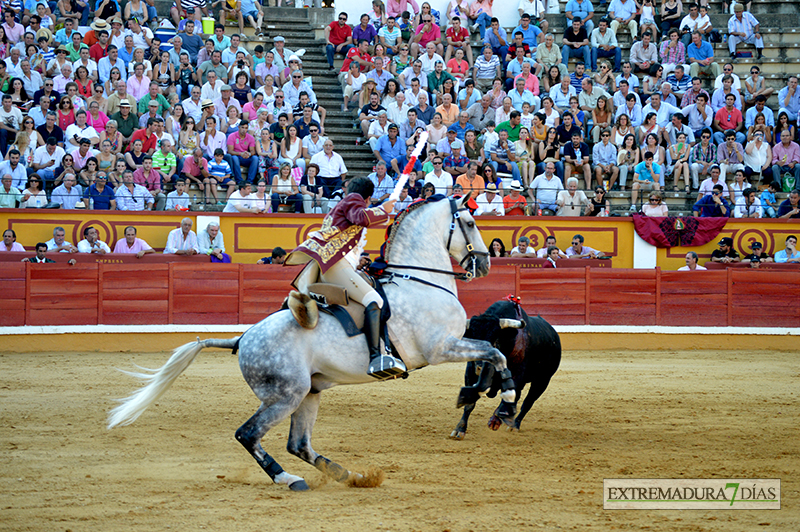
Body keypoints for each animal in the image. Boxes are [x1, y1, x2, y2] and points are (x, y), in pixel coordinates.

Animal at [106, 195, 520, 490]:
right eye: (469, 222)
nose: (485, 263)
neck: (419, 279)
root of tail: (243, 338)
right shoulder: (440, 348)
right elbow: (494, 353)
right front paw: (506, 397)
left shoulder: (456, 339)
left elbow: (491, 351)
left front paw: (482, 394)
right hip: (285, 395)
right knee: (248, 434)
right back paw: (288, 478)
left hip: (309, 392)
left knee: (298, 444)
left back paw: (349, 475)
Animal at [450, 302, 564, 438]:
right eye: (472, 342)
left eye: (495, 341)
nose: (479, 367)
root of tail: (553, 334)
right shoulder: (470, 374)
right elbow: (469, 403)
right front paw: (459, 429)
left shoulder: (517, 376)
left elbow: (508, 398)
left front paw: (495, 421)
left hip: (542, 380)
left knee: (528, 402)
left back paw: (514, 425)